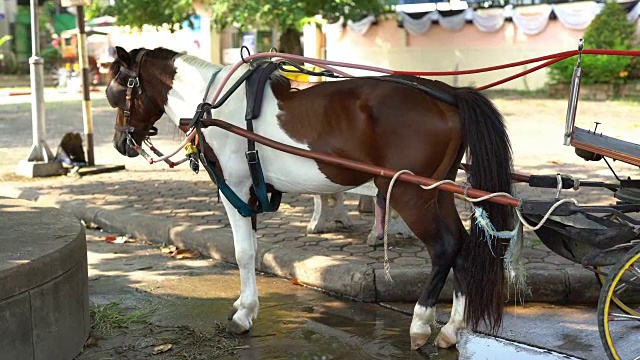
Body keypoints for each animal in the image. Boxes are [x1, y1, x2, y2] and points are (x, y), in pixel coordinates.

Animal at [106, 46, 516, 350]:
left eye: (113, 92)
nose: (121, 142)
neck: (216, 105)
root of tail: (449, 94)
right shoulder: (250, 193)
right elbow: (252, 247)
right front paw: (243, 304)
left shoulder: (234, 187)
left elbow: (243, 252)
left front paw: (244, 315)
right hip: (437, 192)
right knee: (461, 245)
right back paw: (450, 329)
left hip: (410, 193)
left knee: (444, 246)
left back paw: (420, 322)